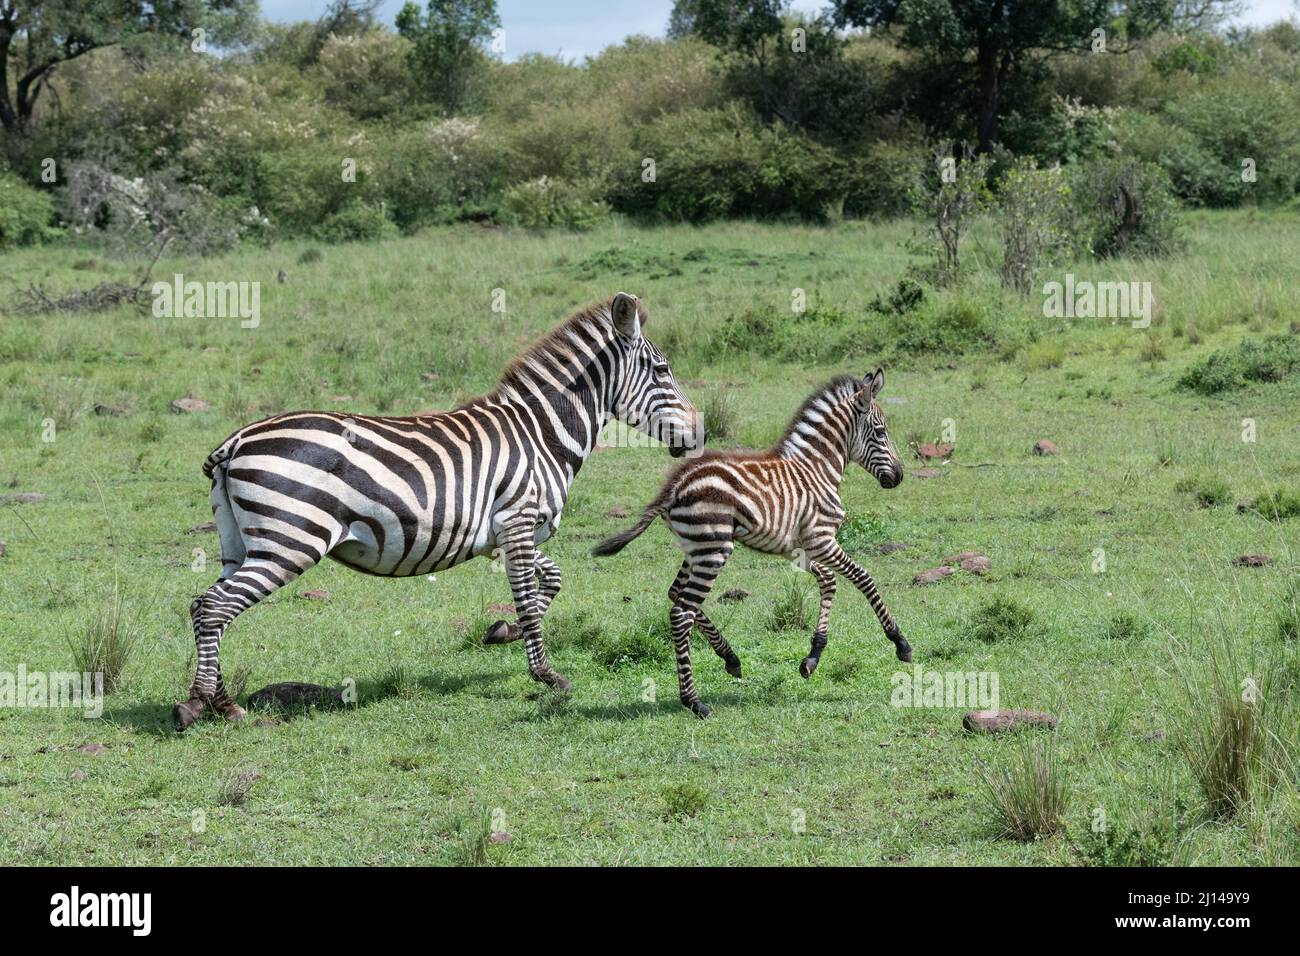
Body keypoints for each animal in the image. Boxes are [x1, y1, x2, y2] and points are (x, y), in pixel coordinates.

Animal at [176, 292, 703, 731]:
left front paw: (503, 631)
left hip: (241, 544)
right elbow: (529, 598)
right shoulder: (517, 521)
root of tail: (235, 440)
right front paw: (546, 674)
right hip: (290, 541)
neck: (542, 433)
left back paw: (221, 701)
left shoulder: (507, 534)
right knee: (215, 608)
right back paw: (200, 703)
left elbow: (550, 581)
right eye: (662, 370)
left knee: (206, 605)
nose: (699, 434)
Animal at [592, 369, 910, 717]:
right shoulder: (822, 538)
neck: (816, 470)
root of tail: (676, 484)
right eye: (880, 431)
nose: (899, 477)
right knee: (681, 612)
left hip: (696, 548)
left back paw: (729, 658)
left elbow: (829, 582)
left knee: (676, 595)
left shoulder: (800, 547)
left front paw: (813, 656)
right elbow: (863, 578)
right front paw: (899, 642)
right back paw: (694, 701)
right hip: (714, 549)